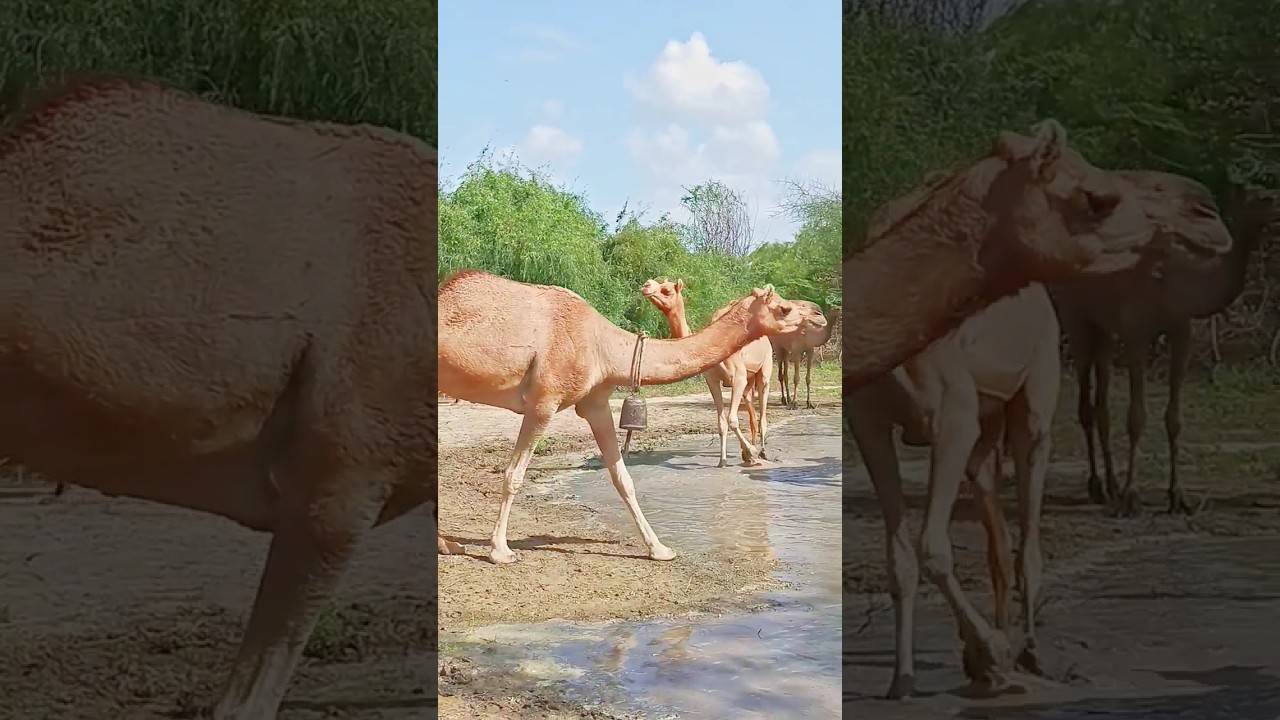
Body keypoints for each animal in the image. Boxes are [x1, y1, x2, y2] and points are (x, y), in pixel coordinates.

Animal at [437, 271, 810, 564]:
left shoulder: (595, 403)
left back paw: (447, 544)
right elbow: (514, 474)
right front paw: (500, 550)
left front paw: (659, 548)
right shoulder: (544, 401)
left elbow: (623, 478)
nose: (813, 317)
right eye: (784, 308)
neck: (603, 345)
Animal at [848, 284, 1060, 698]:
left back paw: (1030, 653)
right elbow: (900, 560)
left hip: (1036, 386)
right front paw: (902, 679)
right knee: (998, 539)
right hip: (985, 428)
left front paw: (992, 654)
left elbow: (932, 549)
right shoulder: (867, 422)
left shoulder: (953, 415)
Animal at [1048, 172, 1259, 515]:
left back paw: (1111, 485)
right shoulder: (1136, 329)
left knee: (1101, 402)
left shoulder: (1181, 330)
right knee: (1085, 404)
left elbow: (1174, 419)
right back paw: (1097, 486)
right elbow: (1136, 417)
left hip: (1104, 328)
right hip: (1076, 317)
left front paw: (1178, 496)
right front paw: (1132, 497)